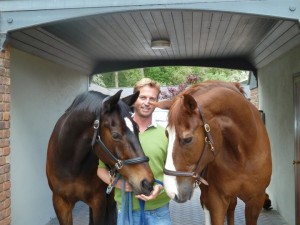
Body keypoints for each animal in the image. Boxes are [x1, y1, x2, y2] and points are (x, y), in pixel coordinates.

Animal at [47, 90, 155, 225]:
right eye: (115, 135)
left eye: (137, 129)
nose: (147, 183)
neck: (71, 163)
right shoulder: (60, 203)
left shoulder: (99, 202)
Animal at [155, 81, 272, 225]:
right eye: (167, 134)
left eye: (188, 139)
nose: (171, 191)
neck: (244, 156)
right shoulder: (217, 199)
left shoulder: (255, 201)